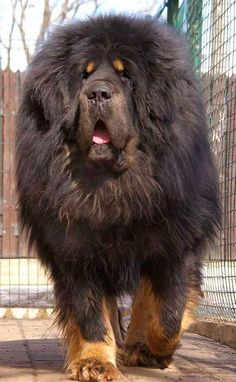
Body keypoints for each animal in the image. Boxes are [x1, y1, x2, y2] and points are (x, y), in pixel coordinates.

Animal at [15, 14, 220, 382]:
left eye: (126, 75)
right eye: (84, 74)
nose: (98, 92)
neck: (115, 186)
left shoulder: (174, 244)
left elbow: (168, 314)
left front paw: (155, 350)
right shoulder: (75, 249)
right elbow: (90, 313)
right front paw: (95, 360)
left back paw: (138, 346)